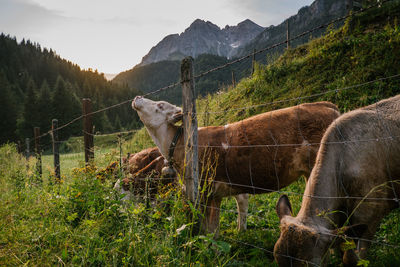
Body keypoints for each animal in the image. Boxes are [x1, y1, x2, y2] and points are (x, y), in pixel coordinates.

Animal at [133, 96, 340, 234]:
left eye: (160, 105)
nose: (137, 97)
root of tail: (324, 104)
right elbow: (238, 209)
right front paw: (240, 232)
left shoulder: (207, 188)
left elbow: (210, 229)